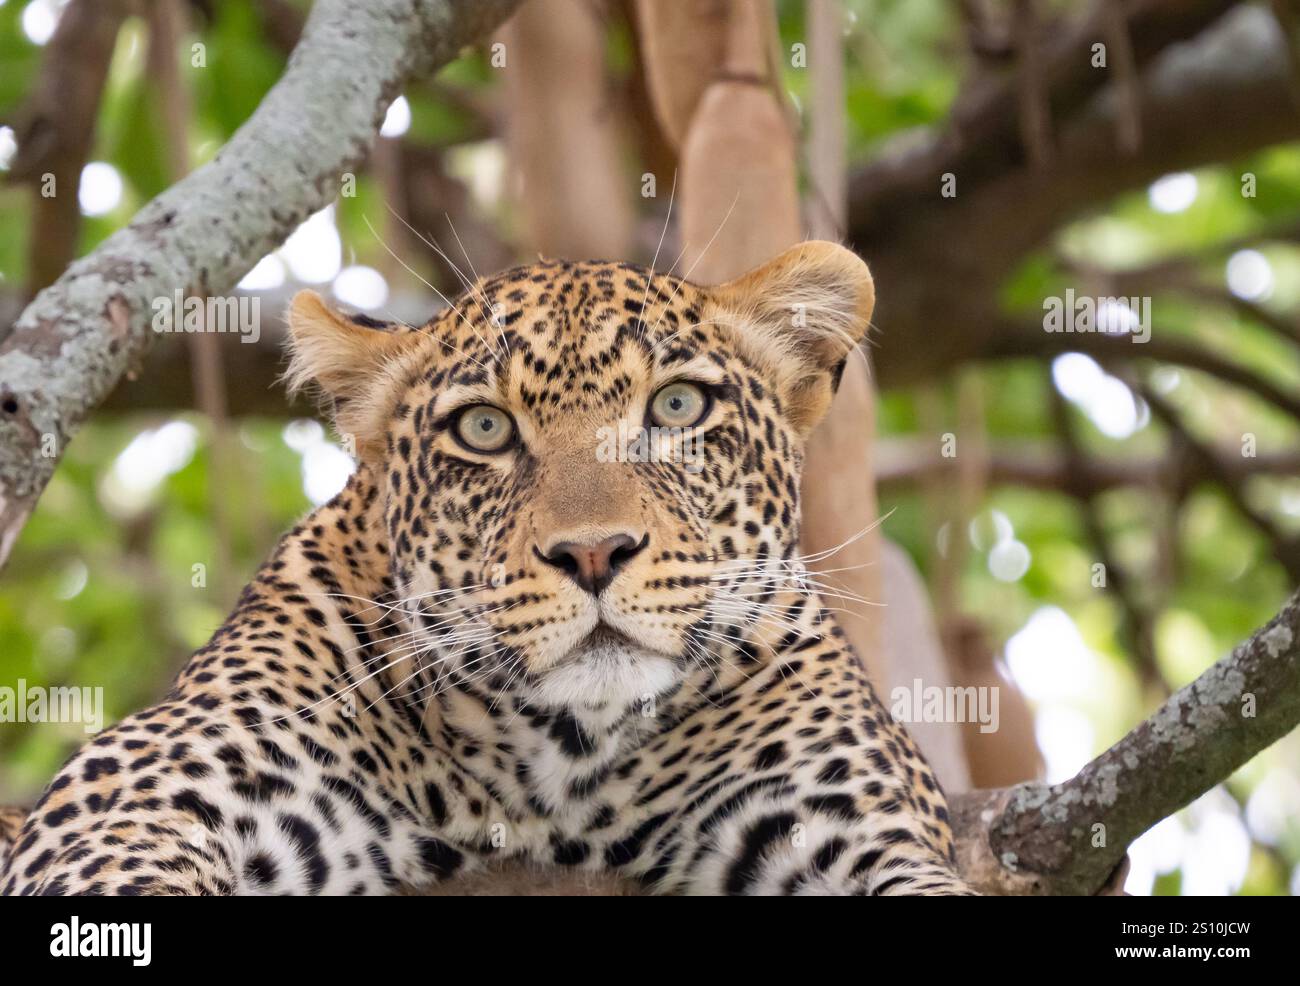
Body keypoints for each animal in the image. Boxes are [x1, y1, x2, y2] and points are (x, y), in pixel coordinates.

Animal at [0, 240, 973, 896]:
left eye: (677, 407)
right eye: (484, 428)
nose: (593, 553)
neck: (565, 767)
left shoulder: (851, 822)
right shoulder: (146, 785)